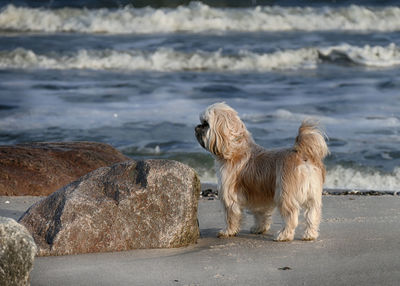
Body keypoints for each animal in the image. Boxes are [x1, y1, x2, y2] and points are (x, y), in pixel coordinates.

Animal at [195, 103, 328, 241]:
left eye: (205, 124)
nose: (196, 127)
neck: (235, 149)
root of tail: (302, 155)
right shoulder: (260, 196)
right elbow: (261, 214)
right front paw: (259, 228)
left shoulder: (230, 195)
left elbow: (231, 215)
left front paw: (228, 231)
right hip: (312, 197)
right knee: (312, 215)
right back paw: (310, 235)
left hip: (285, 195)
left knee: (291, 217)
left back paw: (284, 234)